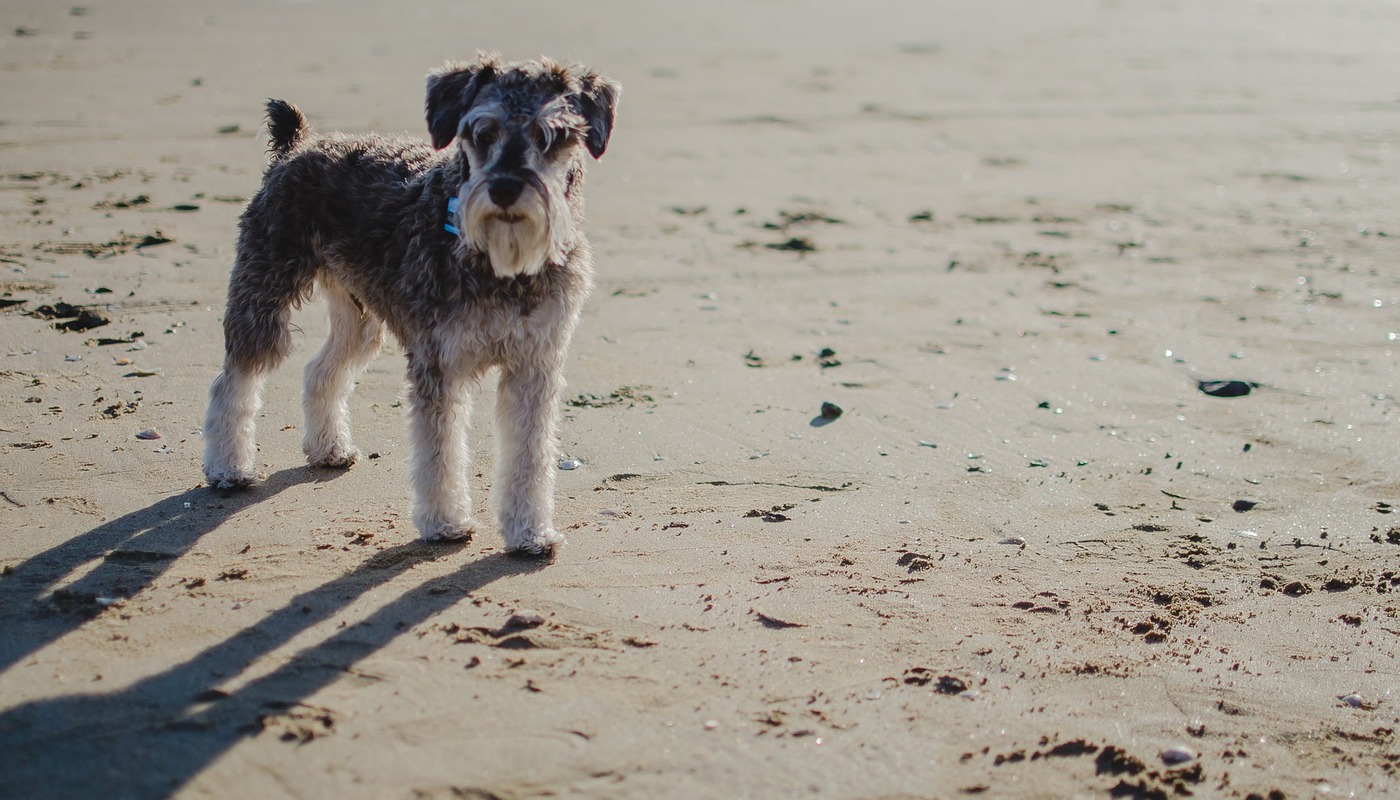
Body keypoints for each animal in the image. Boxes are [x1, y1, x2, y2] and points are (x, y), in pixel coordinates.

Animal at [200, 54, 621, 557]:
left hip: (359, 318)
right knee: (234, 380)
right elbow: (438, 451)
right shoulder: (439, 362)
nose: (503, 189)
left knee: (321, 371)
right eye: (482, 133)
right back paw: (228, 469)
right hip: (263, 295)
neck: (501, 263)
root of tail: (295, 146)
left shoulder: (534, 364)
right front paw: (444, 523)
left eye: (549, 136)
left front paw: (529, 533)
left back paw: (328, 449)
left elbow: (530, 454)